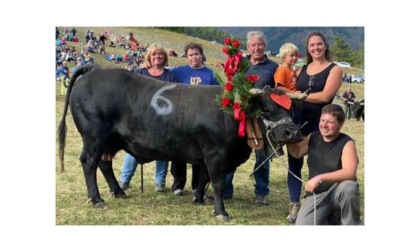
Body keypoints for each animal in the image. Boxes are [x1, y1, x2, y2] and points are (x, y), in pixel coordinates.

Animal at [57, 64, 304, 220]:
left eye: (291, 108)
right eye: (266, 109)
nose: (292, 132)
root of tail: (96, 69)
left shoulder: (205, 156)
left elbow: (203, 179)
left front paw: (199, 199)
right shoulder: (215, 154)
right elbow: (217, 182)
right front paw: (221, 212)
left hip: (110, 141)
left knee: (104, 164)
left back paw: (118, 192)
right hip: (94, 137)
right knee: (89, 162)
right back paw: (97, 198)